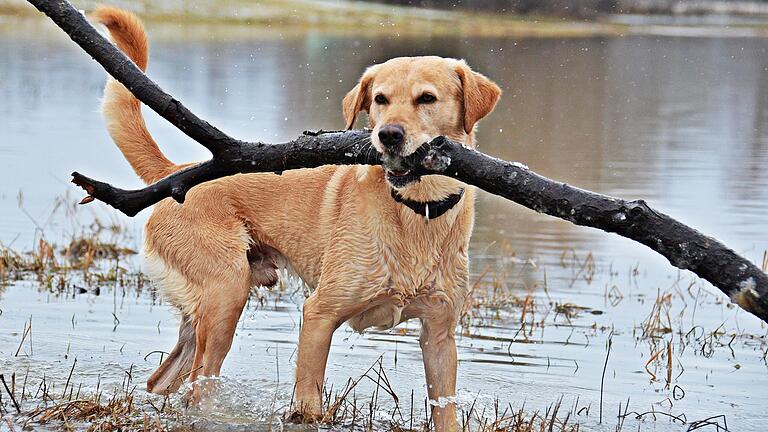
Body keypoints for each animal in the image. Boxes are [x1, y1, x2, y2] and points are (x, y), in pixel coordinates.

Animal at [93, 6, 500, 432]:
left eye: (427, 98)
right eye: (380, 99)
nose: (388, 134)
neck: (416, 211)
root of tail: (178, 173)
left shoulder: (439, 334)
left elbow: (445, 409)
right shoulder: (319, 313)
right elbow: (308, 401)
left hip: (205, 308)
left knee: (163, 380)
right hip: (226, 295)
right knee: (197, 387)